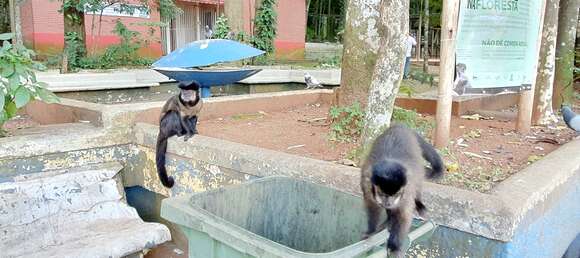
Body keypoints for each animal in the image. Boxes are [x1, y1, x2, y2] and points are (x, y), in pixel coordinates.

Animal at [358, 122, 444, 256]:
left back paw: (418, 204)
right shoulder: (367, 183)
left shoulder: (406, 191)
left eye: (396, 194)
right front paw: (371, 231)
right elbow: (372, 207)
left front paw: (394, 246)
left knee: (418, 183)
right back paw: (389, 220)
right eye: (382, 194)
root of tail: (400, 126)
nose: (388, 202)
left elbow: (403, 216)